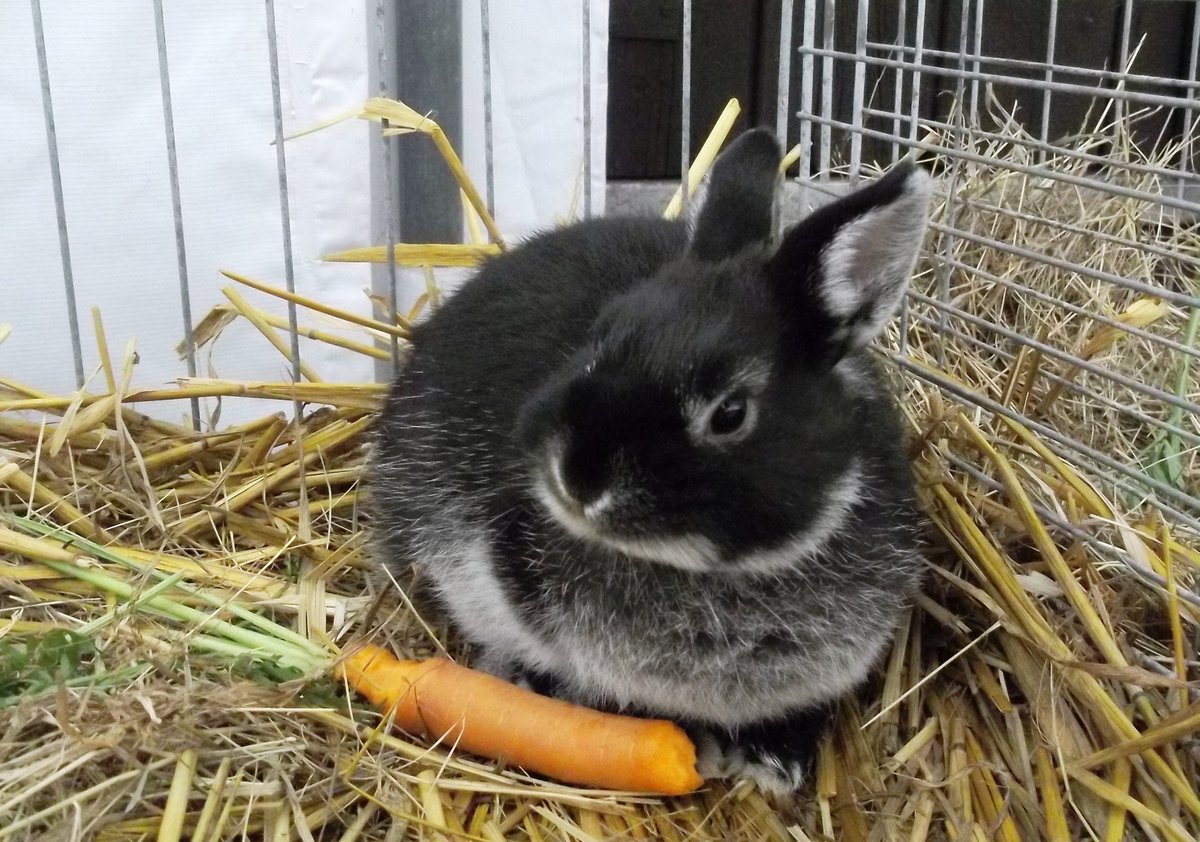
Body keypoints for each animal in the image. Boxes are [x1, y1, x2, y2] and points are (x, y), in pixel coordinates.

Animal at [371, 128, 932, 795]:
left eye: (730, 412)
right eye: (600, 339)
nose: (578, 477)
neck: (717, 576)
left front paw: (775, 760)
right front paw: (694, 746)